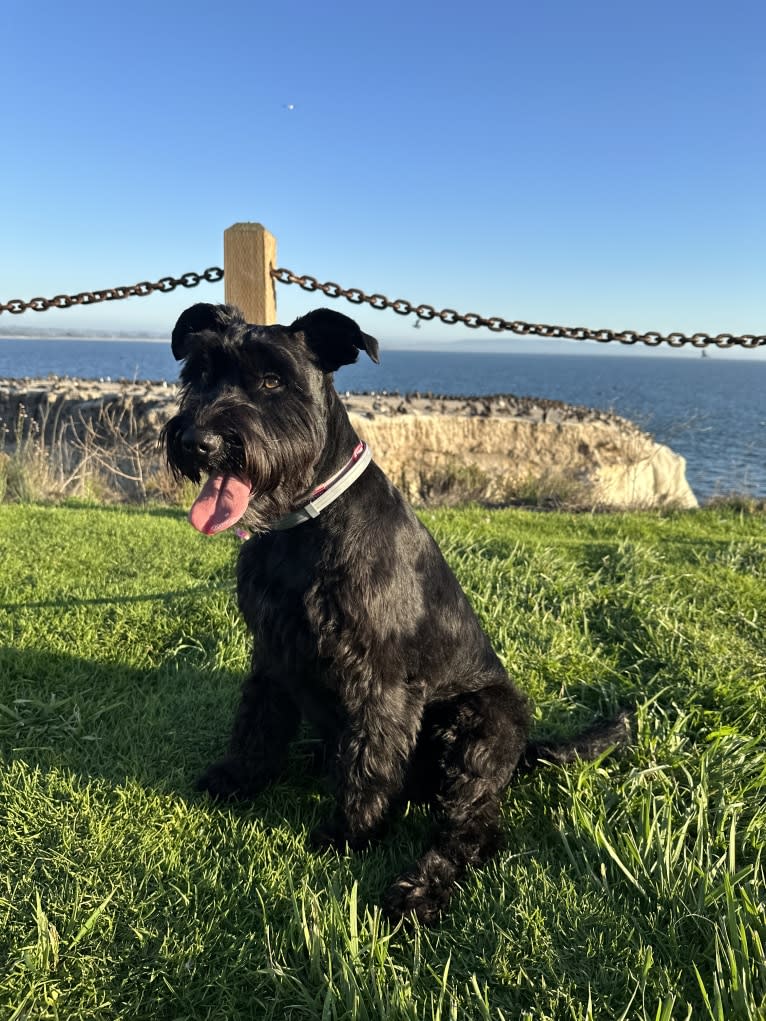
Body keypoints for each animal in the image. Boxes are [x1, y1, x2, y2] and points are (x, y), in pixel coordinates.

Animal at [163, 302, 629, 927]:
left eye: (273, 381)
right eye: (201, 372)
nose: (198, 442)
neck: (305, 524)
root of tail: (522, 753)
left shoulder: (378, 676)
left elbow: (373, 757)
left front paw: (350, 834)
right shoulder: (271, 650)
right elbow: (257, 721)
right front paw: (240, 776)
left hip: (477, 725)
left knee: (473, 828)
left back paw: (419, 889)